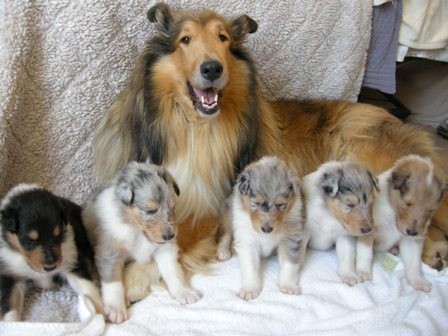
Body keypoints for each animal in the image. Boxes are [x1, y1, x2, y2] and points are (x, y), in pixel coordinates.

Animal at [0, 185, 102, 322]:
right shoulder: (11, 275)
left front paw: (102, 314)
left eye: (57, 235)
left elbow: (88, 289)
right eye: (30, 240)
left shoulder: (73, 262)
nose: (51, 267)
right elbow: (10, 306)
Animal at [82, 161, 201, 324]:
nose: (170, 236)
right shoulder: (109, 253)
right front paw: (115, 309)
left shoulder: (165, 249)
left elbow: (172, 271)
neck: (139, 232)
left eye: (173, 207)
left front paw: (183, 292)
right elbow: (114, 284)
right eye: (150, 210)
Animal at [93, 2, 446, 270]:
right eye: (185, 39)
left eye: (223, 38)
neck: (197, 129)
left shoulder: (207, 206)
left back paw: (430, 248)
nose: (212, 69)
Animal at [218, 156, 306, 300]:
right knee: (226, 233)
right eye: (255, 203)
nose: (266, 229)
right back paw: (223, 251)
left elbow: (289, 264)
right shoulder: (247, 240)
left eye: (281, 204)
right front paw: (250, 289)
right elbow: (250, 267)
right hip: (228, 214)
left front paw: (288, 286)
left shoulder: (290, 238)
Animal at [356, 155, 446, 292]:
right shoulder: (368, 230)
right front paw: (363, 272)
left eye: (431, 210)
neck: (393, 215)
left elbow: (414, 263)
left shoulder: (411, 241)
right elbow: (365, 253)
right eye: (407, 203)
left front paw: (418, 281)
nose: (412, 232)